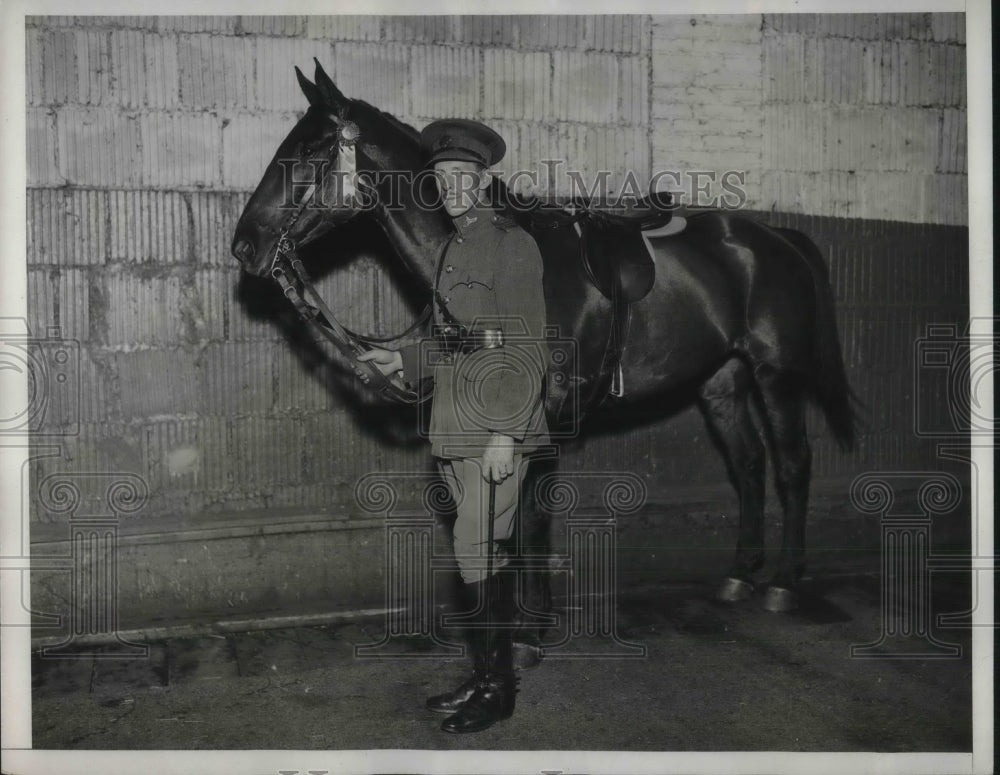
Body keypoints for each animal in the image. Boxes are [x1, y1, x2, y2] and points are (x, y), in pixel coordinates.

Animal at [230, 62, 856, 620]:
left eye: (308, 152)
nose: (244, 245)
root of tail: (777, 237)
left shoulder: (545, 412)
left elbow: (529, 514)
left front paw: (532, 623)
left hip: (777, 375)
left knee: (792, 464)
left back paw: (784, 583)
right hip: (721, 381)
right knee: (749, 463)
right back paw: (739, 575)